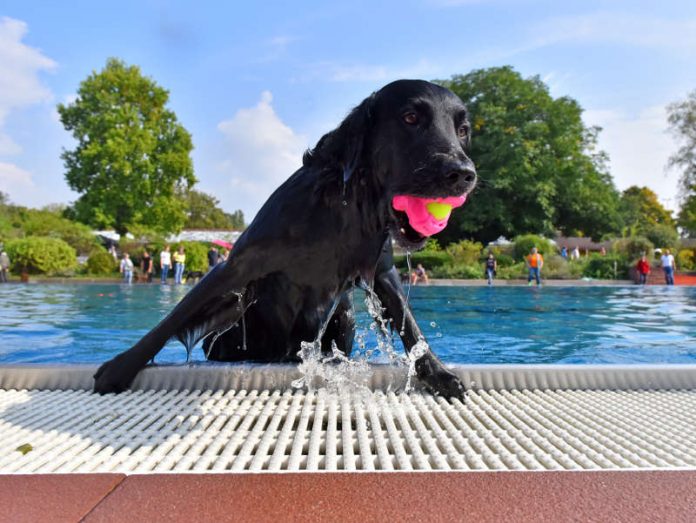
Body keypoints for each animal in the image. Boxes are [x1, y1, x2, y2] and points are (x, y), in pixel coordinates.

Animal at [95, 80, 476, 396]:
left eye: (462, 130)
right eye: (410, 117)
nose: (463, 174)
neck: (344, 213)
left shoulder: (381, 271)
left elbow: (410, 325)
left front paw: (437, 372)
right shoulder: (237, 265)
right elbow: (174, 317)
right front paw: (121, 367)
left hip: (344, 314)